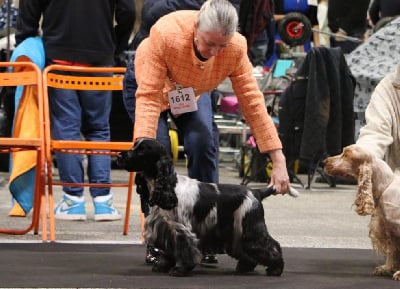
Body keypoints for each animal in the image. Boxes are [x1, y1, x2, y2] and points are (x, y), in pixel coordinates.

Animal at [117, 138, 298, 276]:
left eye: (142, 150)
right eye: (134, 145)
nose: (119, 156)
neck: (169, 186)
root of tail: (256, 191)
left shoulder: (181, 229)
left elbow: (184, 250)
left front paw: (180, 270)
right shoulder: (166, 227)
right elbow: (169, 250)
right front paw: (162, 265)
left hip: (250, 228)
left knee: (271, 246)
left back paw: (275, 269)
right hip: (237, 231)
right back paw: (244, 267)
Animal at [324, 144, 400, 280]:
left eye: (346, 155)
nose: (324, 162)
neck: (386, 186)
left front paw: (398, 273)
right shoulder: (388, 229)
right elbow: (391, 250)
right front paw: (386, 268)